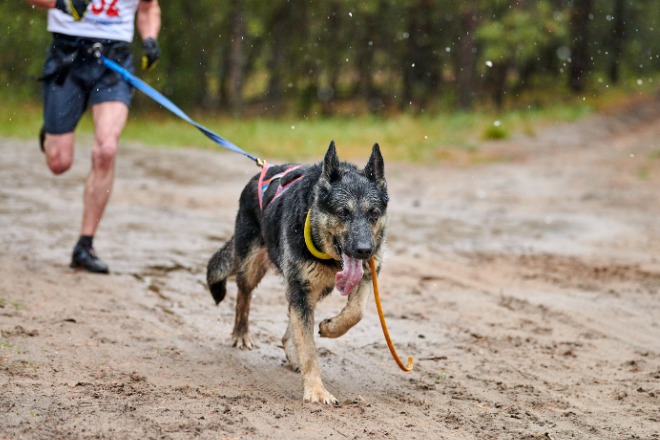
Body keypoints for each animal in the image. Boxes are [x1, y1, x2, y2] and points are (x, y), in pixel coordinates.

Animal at [206, 142, 386, 406]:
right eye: (343, 213)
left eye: (373, 214)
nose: (364, 250)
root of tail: (263, 171)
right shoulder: (300, 288)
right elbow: (309, 348)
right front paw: (316, 391)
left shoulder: (364, 276)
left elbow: (356, 312)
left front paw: (331, 328)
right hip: (253, 267)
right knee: (243, 296)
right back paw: (240, 334)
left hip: (309, 288)